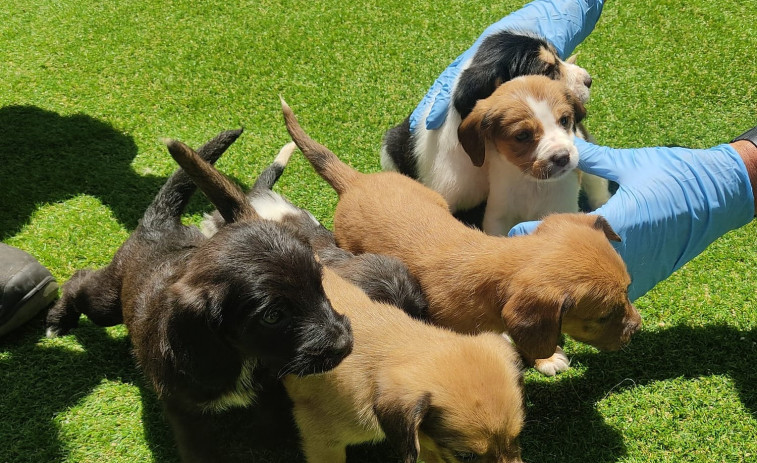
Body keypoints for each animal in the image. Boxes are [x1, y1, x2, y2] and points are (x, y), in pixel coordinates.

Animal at [45, 129, 352, 462]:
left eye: (319, 284)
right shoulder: (186, 414)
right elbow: (200, 450)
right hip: (107, 302)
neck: (239, 355)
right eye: (272, 316)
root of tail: (159, 225)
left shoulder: (271, 387)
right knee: (80, 281)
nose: (345, 344)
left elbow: (274, 421)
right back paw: (58, 320)